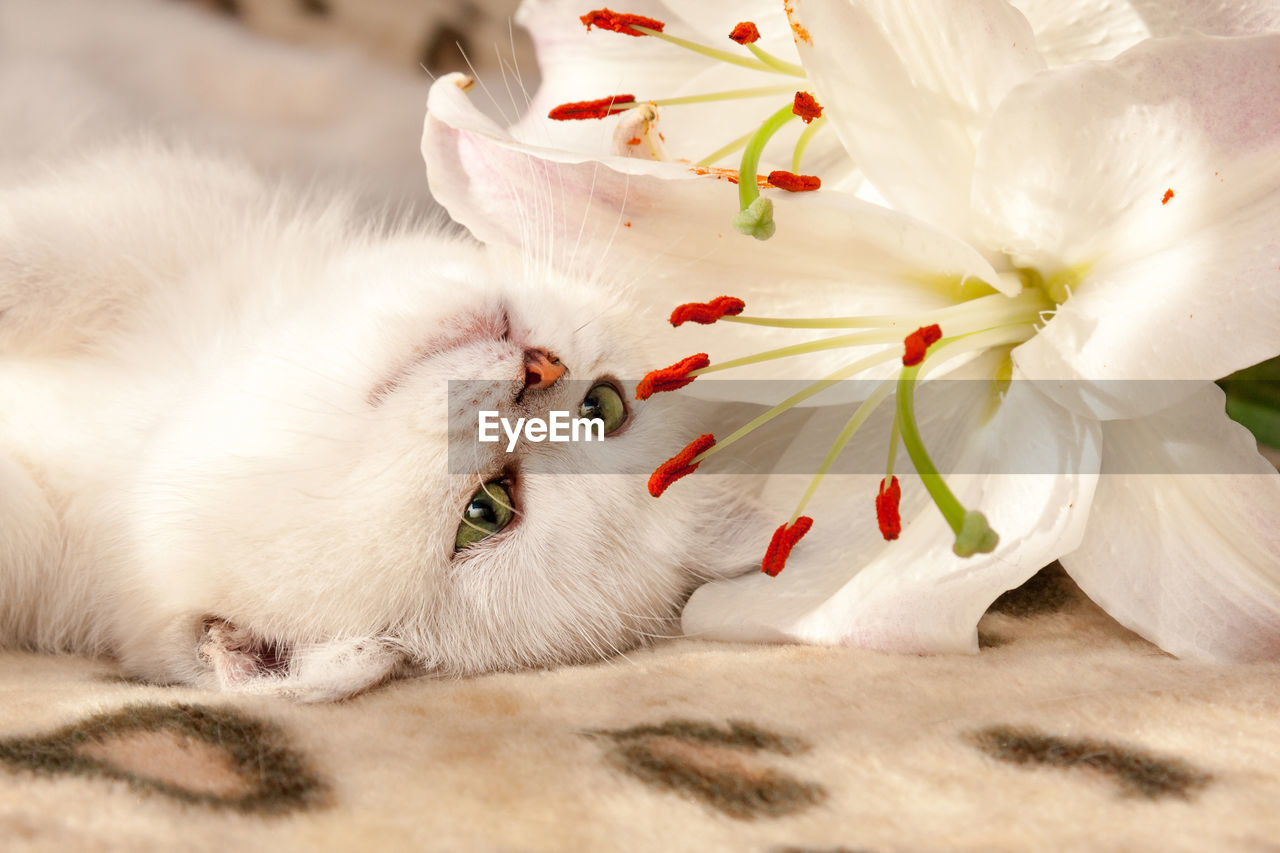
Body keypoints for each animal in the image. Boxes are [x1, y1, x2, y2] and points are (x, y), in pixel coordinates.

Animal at [0, 144, 768, 696]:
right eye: (605, 405)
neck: (162, 411)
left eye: (485, 511)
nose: (539, 370)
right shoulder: (170, 219)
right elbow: (47, 252)